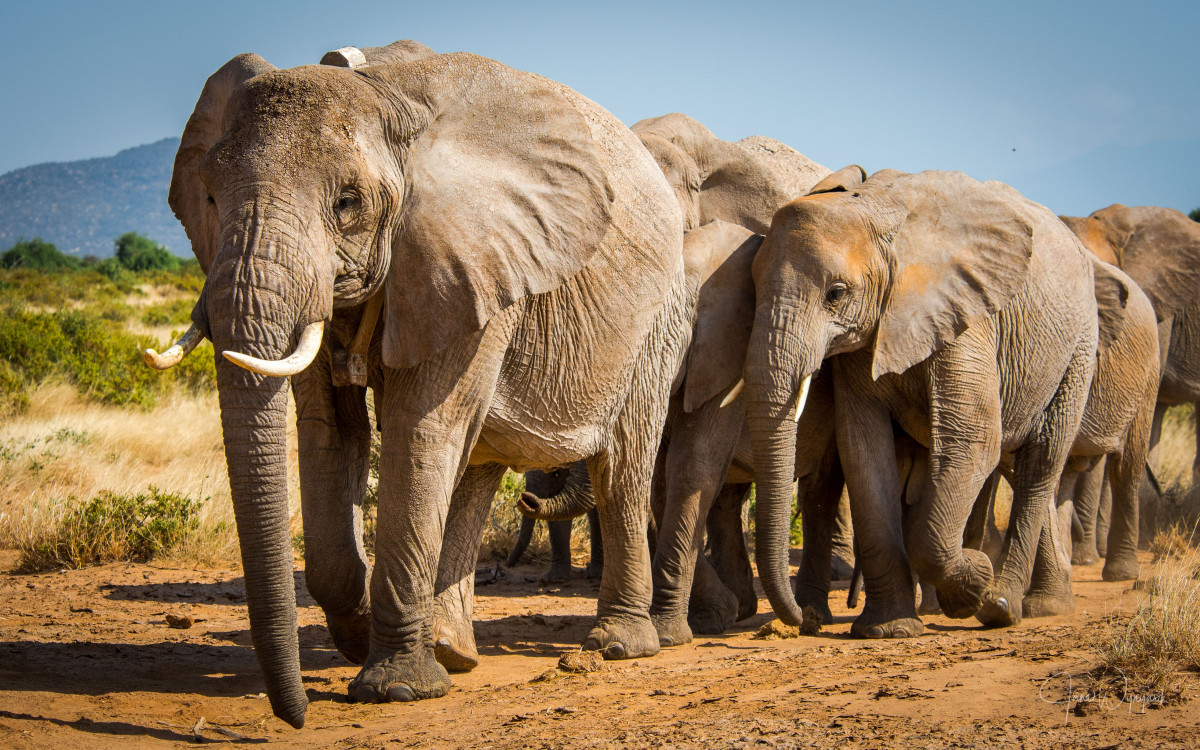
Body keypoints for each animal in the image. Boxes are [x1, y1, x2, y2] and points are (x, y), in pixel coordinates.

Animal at [147, 48, 696, 724]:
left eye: (348, 203)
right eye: (209, 197)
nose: (295, 714)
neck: (381, 96)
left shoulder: (475, 263)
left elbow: (420, 428)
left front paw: (395, 688)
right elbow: (331, 431)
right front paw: (360, 637)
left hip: (657, 321)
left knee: (621, 466)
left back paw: (618, 645)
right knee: (478, 466)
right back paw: (452, 650)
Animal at [748, 166, 1104, 633]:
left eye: (836, 293)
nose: (803, 621)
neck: (874, 210)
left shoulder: (966, 315)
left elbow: (973, 439)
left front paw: (973, 581)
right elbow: (863, 450)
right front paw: (887, 630)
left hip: (1079, 346)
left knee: (1040, 461)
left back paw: (1001, 606)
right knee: (1012, 462)